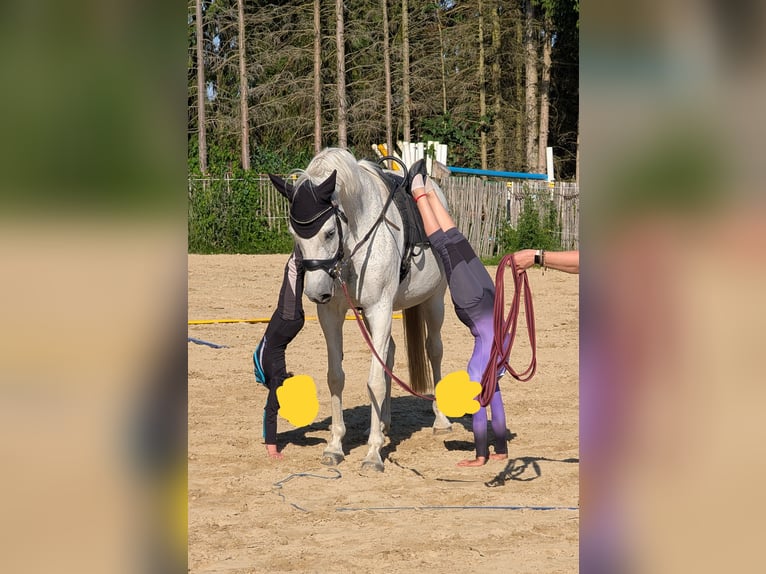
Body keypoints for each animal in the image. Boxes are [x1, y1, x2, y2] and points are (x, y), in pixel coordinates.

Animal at [269, 147, 452, 471]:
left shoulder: (379, 309)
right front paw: (335, 446)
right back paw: (383, 422)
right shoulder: (332, 314)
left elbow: (374, 381)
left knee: (434, 350)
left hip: (434, 300)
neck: (356, 242)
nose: (315, 292)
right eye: (294, 234)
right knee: (389, 353)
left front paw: (373, 453)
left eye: (329, 232)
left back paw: (440, 420)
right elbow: (336, 376)